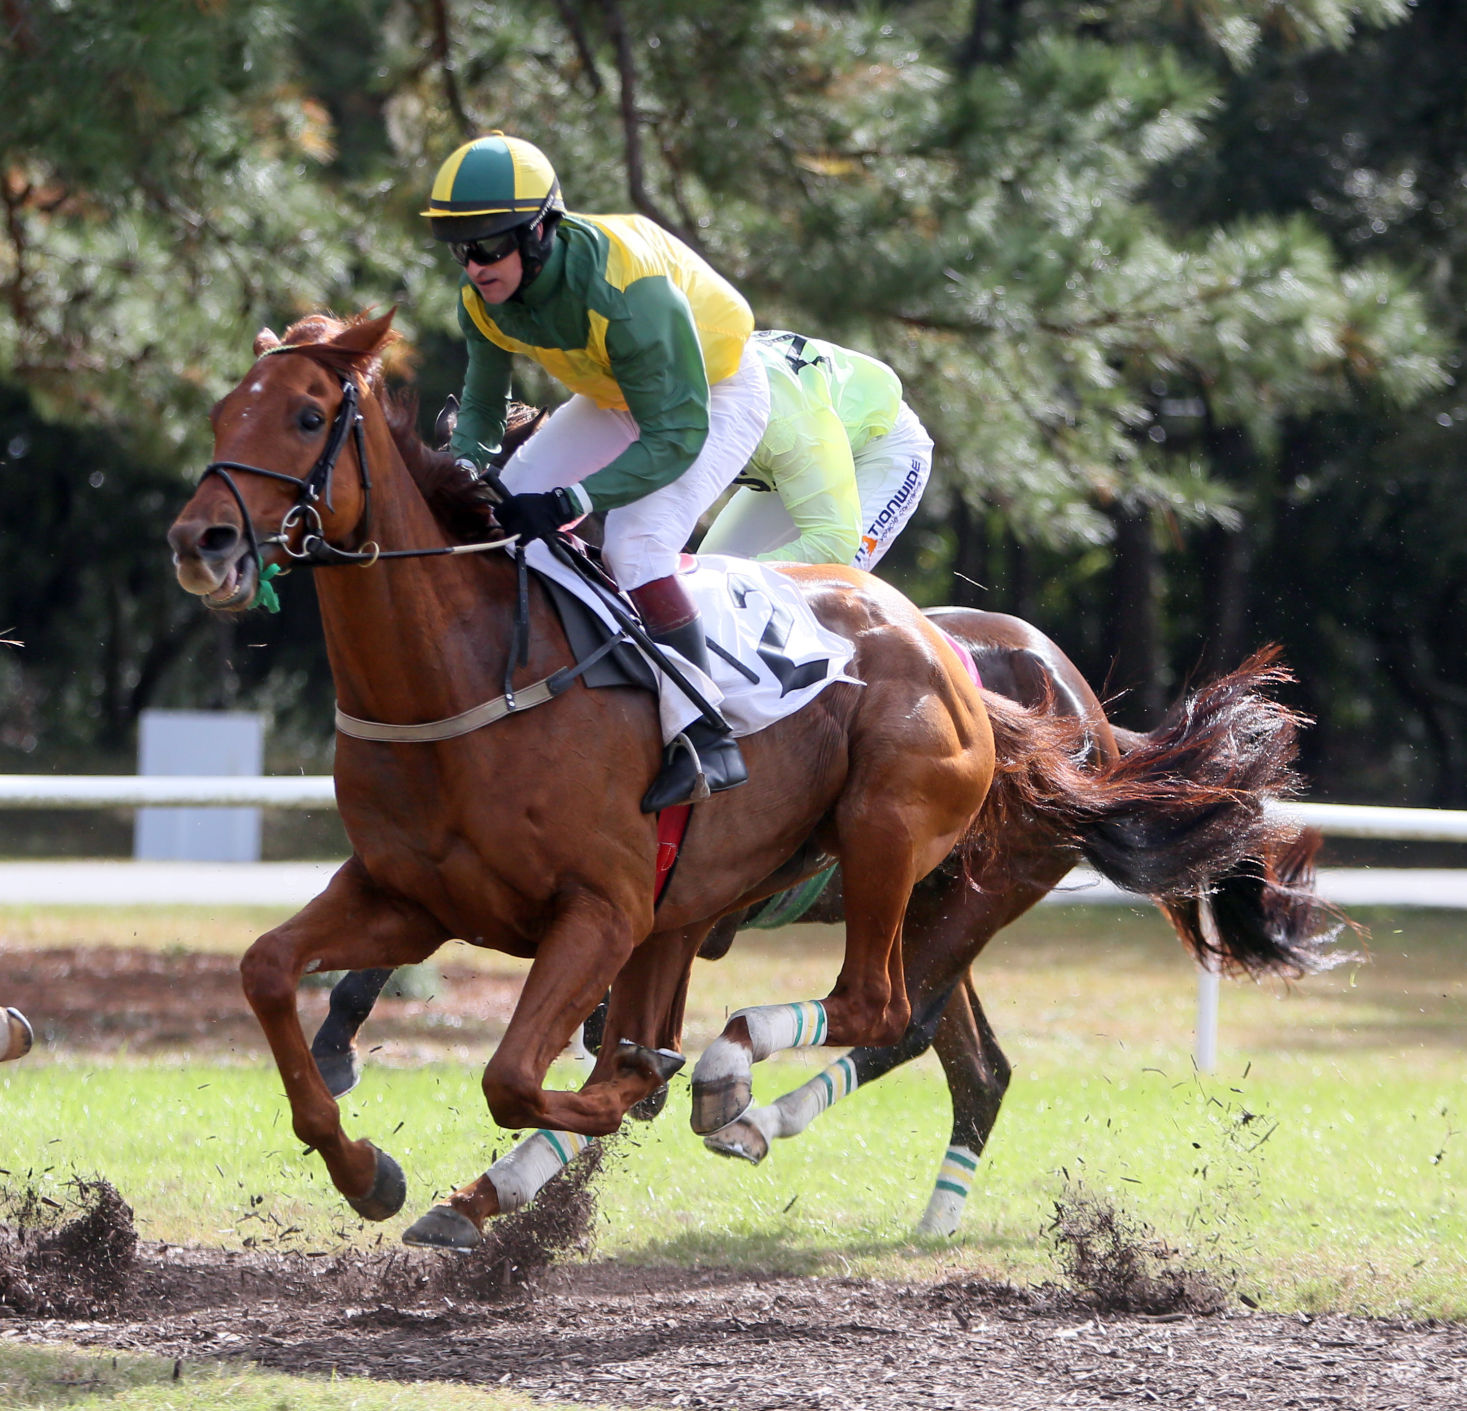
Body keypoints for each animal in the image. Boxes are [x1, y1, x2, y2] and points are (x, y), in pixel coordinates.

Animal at [166, 308, 1314, 1243]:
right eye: (225, 409)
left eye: (308, 416)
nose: (201, 540)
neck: (478, 671)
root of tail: (1049, 702)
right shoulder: (416, 893)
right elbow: (269, 970)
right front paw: (364, 1159)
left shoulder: (610, 909)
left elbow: (534, 1072)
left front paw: (635, 1091)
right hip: (925, 898)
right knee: (965, 1058)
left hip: (911, 859)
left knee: (885, 1011)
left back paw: (743, 1091)